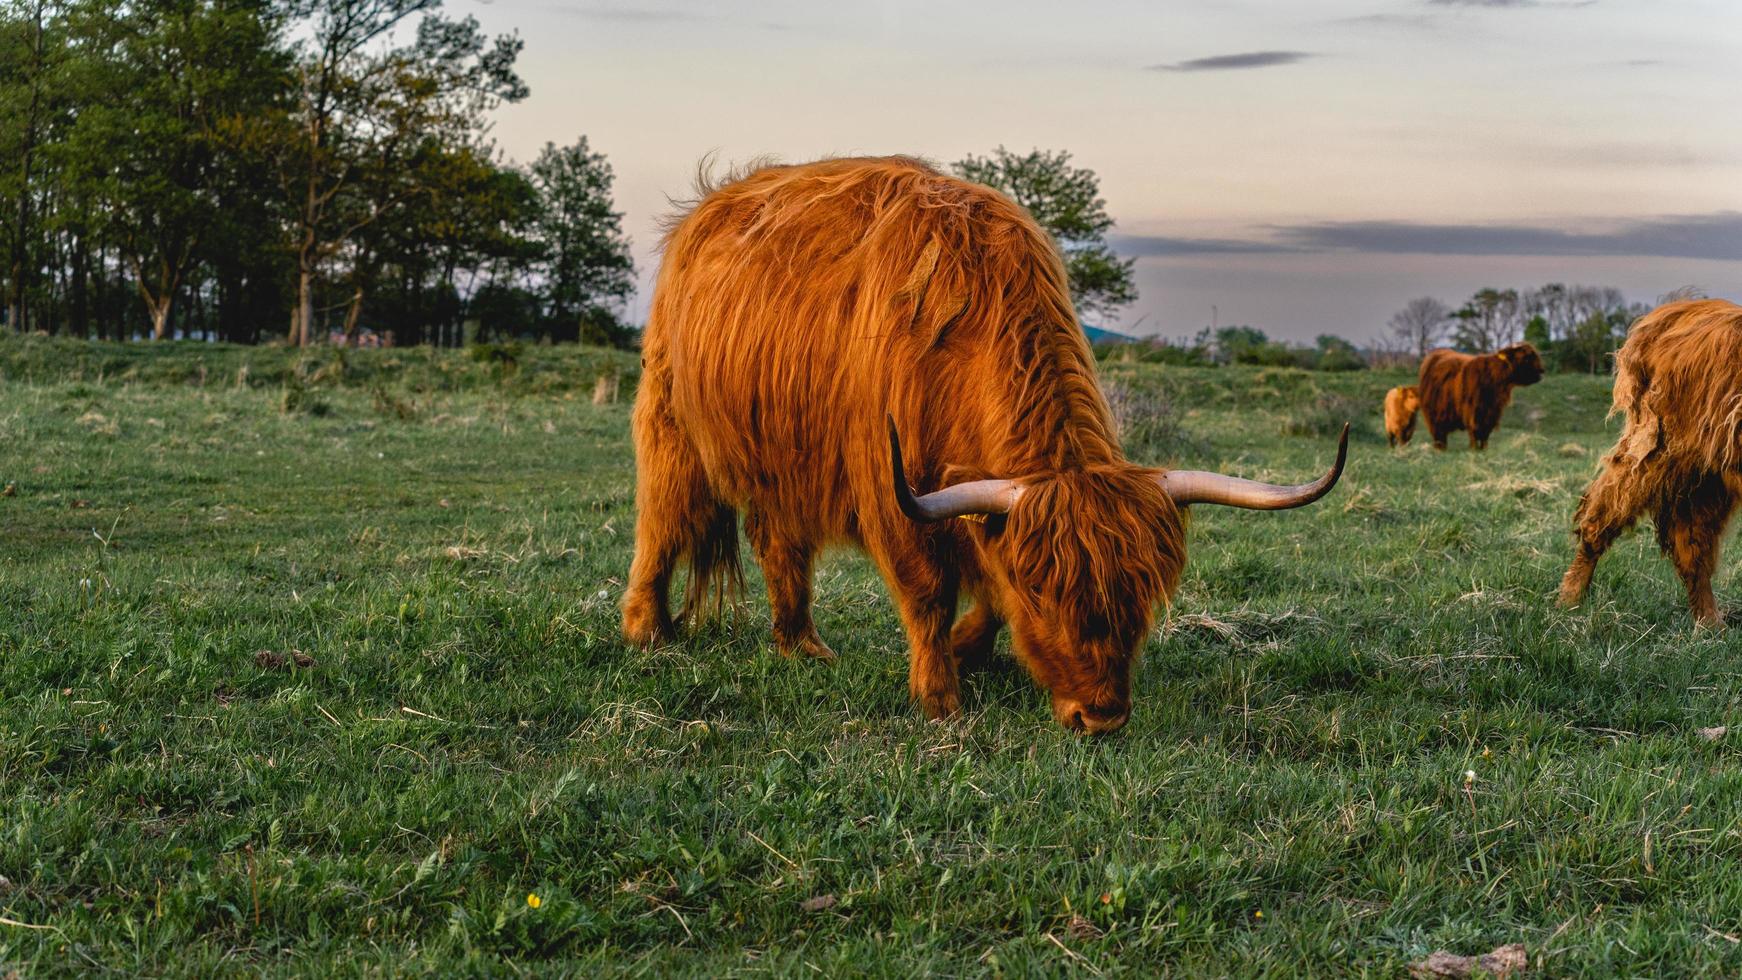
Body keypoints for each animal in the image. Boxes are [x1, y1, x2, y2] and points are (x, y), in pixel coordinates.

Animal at [620, 154, 1351, 738]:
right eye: (1048, 594)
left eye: (1142, 592)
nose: (1102, 716)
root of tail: (712, 204)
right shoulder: (892, 487)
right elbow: (927, 592)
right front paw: (940, 696)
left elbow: (988, 591)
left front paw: (968, 650)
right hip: (672, 426)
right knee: (662, 523)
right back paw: (645, 629)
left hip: (781, 458)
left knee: (780, 544)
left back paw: (800, 644)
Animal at [1560, 295, 1742, 630]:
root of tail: (1680, 310)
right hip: (1656, 454)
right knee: (1602, 513)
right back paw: (1569, 598)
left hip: (1705, 477)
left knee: (1692, 545)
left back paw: (1710, 623)